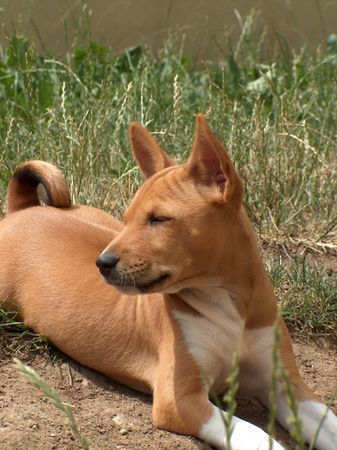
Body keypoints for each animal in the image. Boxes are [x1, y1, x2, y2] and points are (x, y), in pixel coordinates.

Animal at [0, 114, 336, 448]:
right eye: (130, 219)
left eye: (158, 219)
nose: (102, 263)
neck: (229, 306)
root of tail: (24, 209)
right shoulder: (180, 399)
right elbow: (254, 435)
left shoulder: (285, 386)